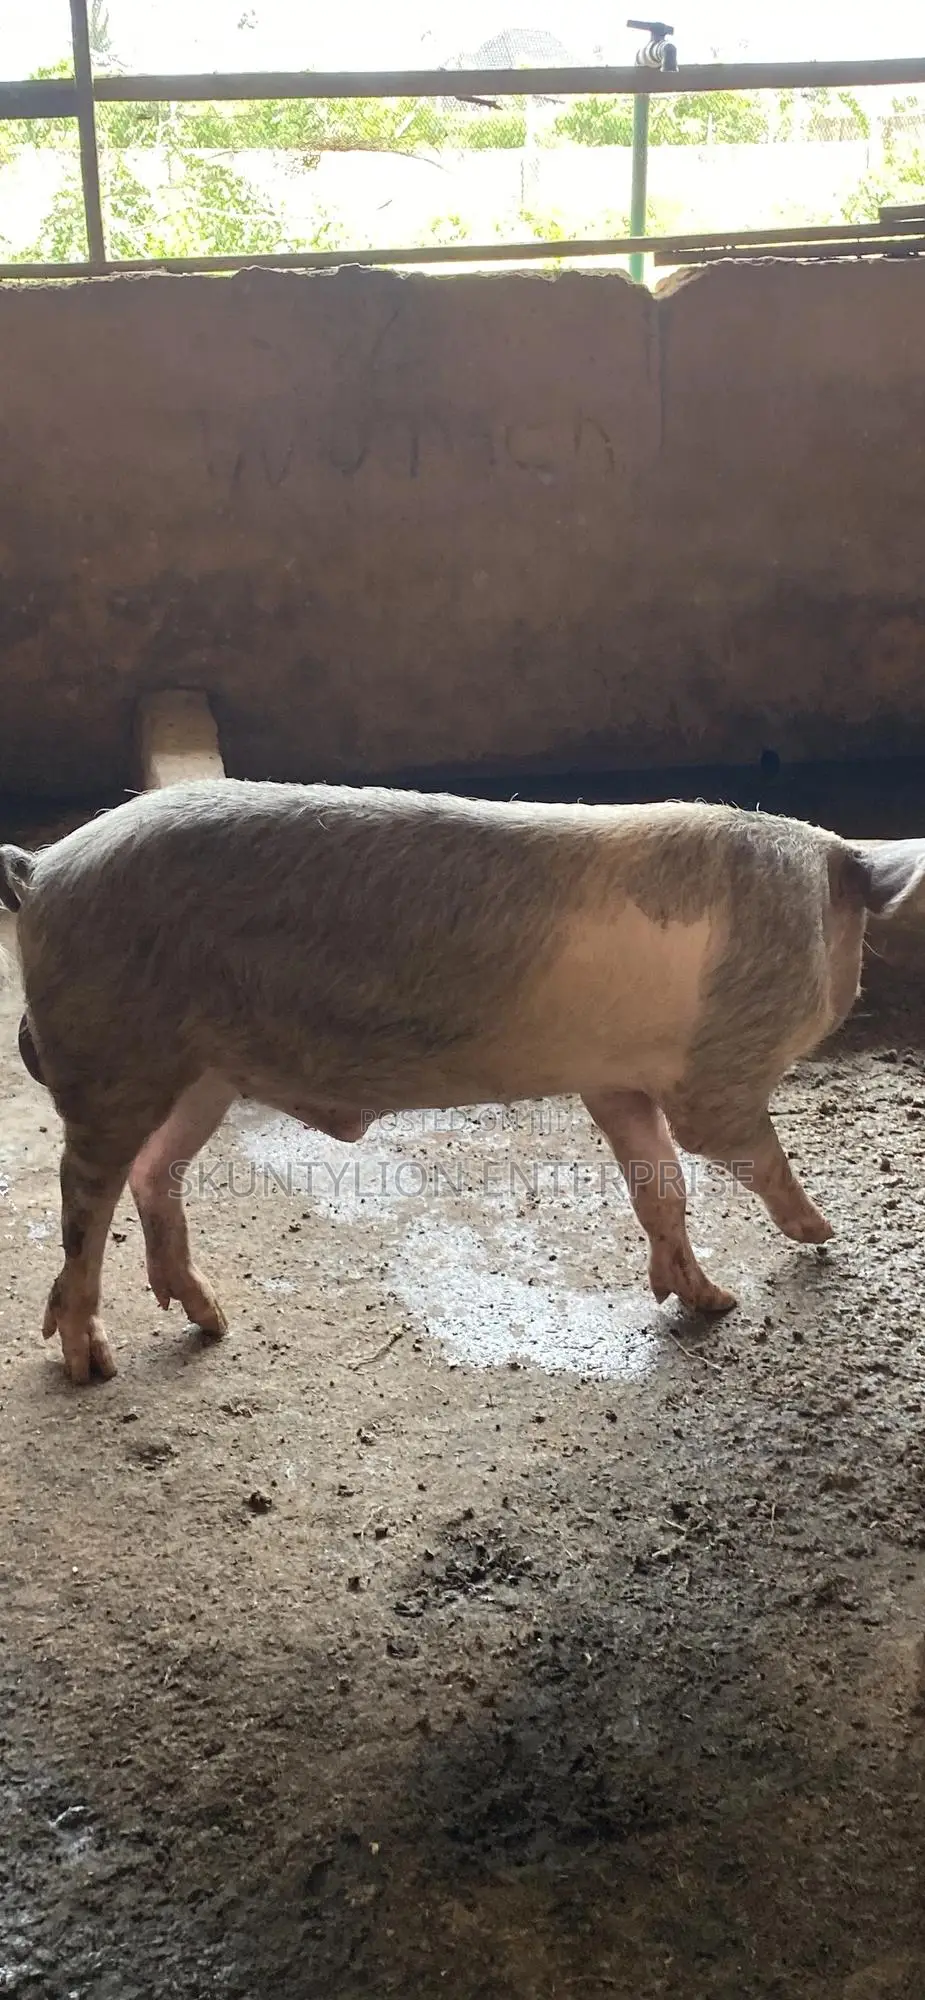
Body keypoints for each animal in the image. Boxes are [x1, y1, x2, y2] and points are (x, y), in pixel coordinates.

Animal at [1, 779, 923, 1387]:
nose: (826, 1234)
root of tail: (40, 873)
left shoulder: (614, 1082)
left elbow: (658, 1184)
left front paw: (709, 1302)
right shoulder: (717, 1071)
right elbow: (740, 1149)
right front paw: (821, 1235)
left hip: (205, 1073)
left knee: (155, 1171)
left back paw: (211, 1320)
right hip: (115, 1051)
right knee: (83, 1199)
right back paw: (94, 1365)